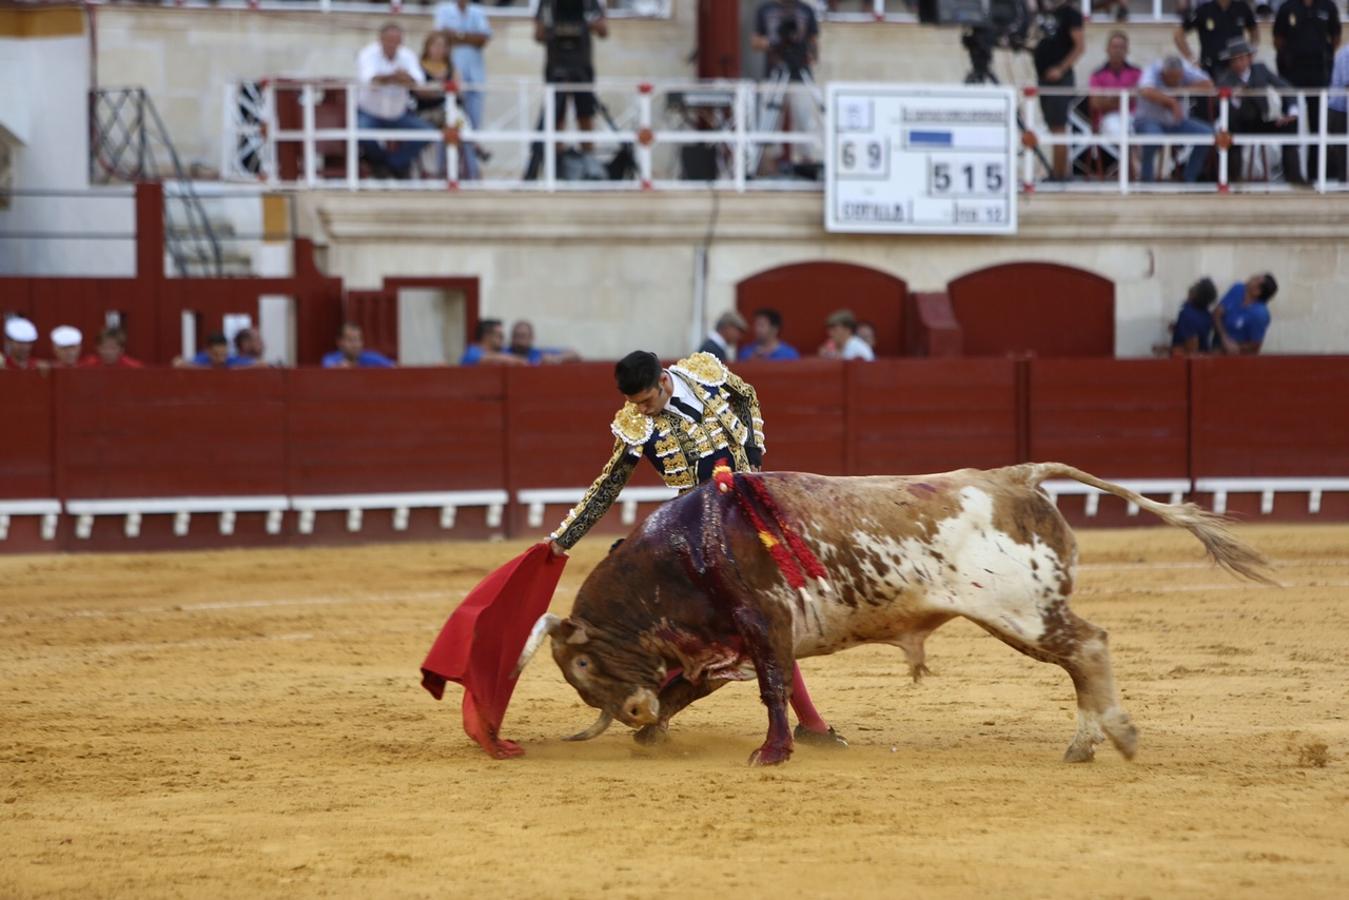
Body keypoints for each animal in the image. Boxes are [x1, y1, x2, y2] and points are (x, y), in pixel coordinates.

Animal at [509, 464, 1268, 766]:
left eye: (583, 660)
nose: (628, 710)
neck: (687, 552)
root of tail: (1013, 476)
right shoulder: (726, 644)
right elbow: (686, 690)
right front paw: (652, 733)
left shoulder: (763, 626)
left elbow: (773, 689)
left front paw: (771, 753)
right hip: (1028, 612)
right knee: (1081, 656)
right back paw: (1085, 744)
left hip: (1020, 611)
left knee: (1087, 648)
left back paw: (1115, 737)